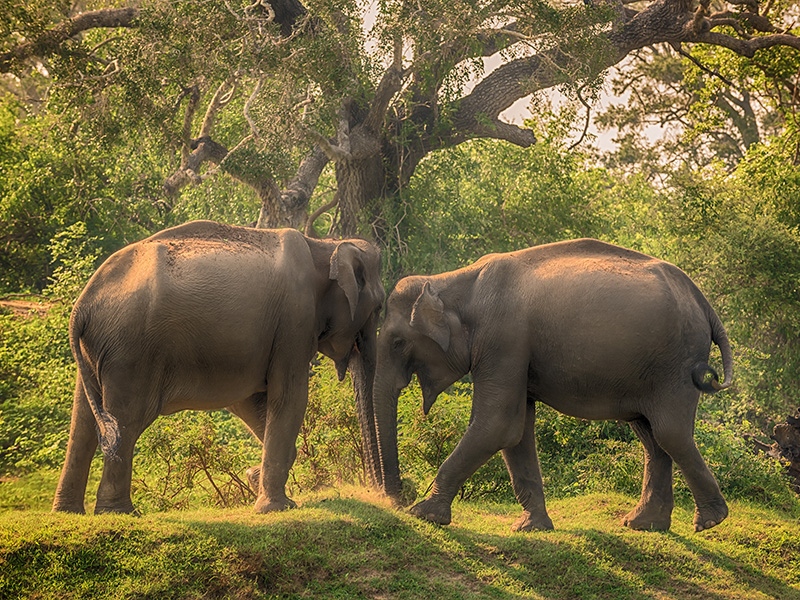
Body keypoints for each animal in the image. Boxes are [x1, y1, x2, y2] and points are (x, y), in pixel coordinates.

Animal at [53, 220, 384, 516]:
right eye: (380, 307)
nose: (381, 493)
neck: (324, 246)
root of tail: (82, 305)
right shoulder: (295, 318)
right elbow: (289, 396)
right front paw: (277, 507)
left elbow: (248, 402)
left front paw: (255, 479)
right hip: (130, 350)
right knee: (126, 420)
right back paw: (120, 513)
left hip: (98, 351)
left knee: (84, 421)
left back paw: (69, 512)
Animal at [372, 237, 736, 532]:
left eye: (398, 343)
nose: (398, 499)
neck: (454, 281)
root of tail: (703, 301)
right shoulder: (513, 351)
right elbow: (516, 430)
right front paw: (531, 526)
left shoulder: (503, 339)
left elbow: (497, 424)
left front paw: (423, 514)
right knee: (652, 437)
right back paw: (644, 524)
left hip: (676, 364)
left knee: (669, 432)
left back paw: (708, 521)